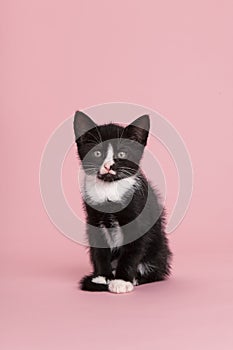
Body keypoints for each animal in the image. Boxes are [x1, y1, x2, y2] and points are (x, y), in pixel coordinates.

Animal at [73, 111, 172, 292]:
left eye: (121, 154)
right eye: (97, 153)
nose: (108, 166)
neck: (109, 189)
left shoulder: (138, 217)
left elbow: (132, 251)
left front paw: (121, 281)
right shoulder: (94, 219)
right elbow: (99, 250)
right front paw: (102, 277)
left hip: (159, 250)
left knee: (156, 271)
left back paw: (136, 278)